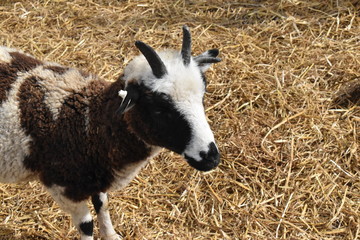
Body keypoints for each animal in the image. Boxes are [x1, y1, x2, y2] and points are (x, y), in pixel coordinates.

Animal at [0, 25, 221, 239]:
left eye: (202, 96)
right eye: (159, 108)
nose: (211, 157)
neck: (89, 124)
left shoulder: (98, 173)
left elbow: (102, 205)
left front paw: (111, 234)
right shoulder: (63, 188)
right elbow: (86, 225)